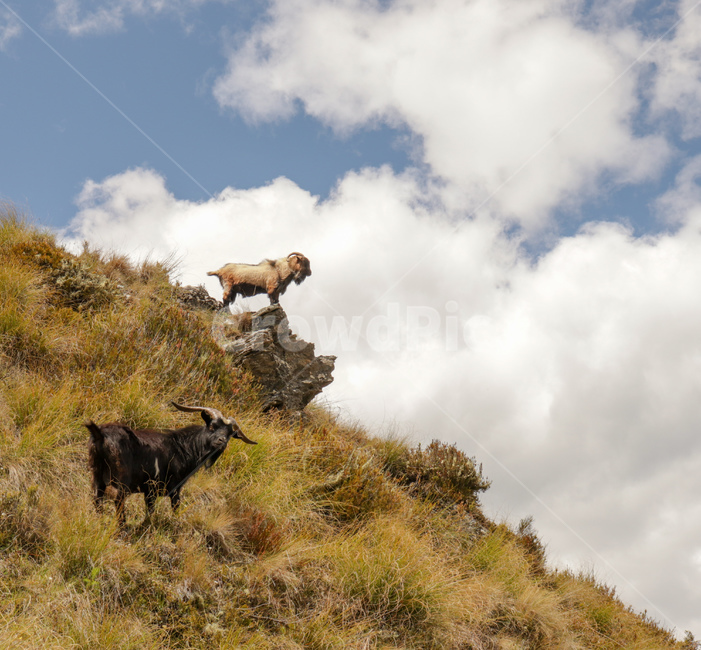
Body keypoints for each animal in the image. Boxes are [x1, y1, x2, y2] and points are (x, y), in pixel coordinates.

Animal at [86, 402, 256, 525]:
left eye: (229, 434)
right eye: (212, 426)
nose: (221, 442)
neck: (183, 447)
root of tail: (101, 435)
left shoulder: (150, 491)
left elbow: (150, 510)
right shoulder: (171, 487)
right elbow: (173, 507)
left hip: (97, 474)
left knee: (97, 498)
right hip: (122, 479)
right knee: (118, 501)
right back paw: (122, 525)